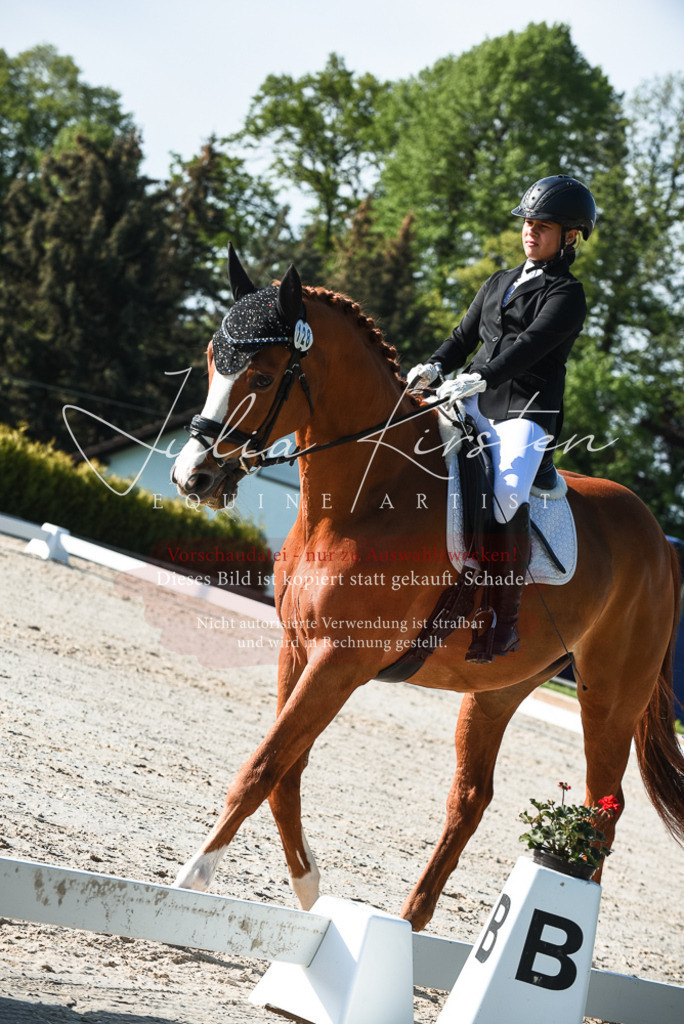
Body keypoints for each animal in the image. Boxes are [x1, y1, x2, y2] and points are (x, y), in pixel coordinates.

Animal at [170, 246, 684, 932]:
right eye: (210, 360)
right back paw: (410, 924)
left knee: (602, 811)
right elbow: (286, 774)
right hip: (498, 688)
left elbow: (262, 767)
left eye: (262, 375)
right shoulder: (297, 648)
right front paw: (311, 896)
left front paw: (193, 879)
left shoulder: (340, 661)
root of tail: (659, 540)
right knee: (471, 797)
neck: (364, 498)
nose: (193, 477)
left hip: (608, 697)